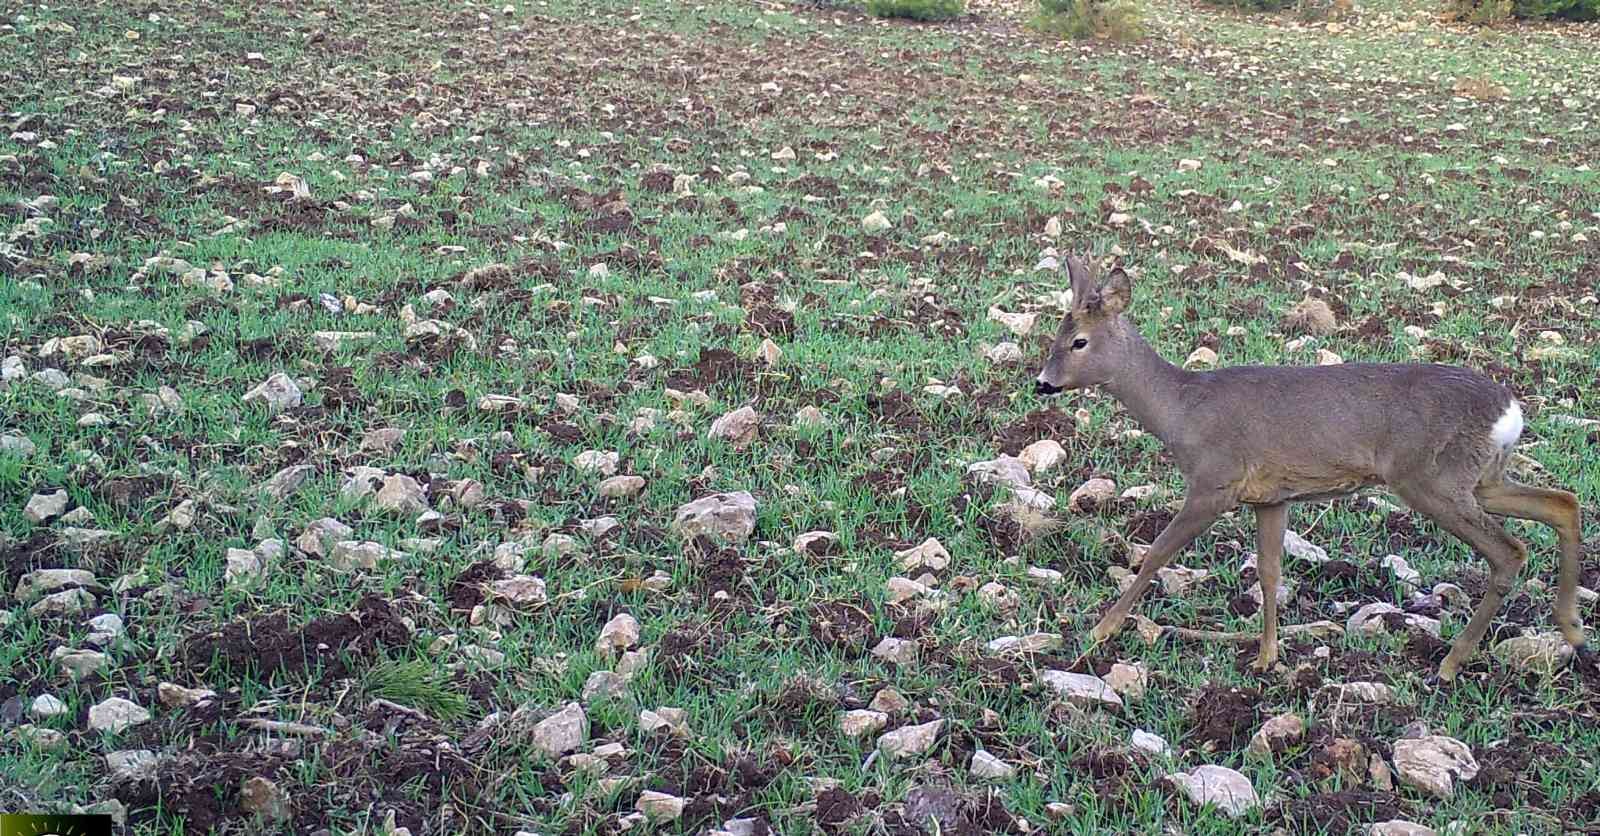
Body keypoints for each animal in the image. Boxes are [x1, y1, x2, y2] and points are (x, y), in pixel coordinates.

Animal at [1036, 254, 1587, 682]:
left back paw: (1452, 663)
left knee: (1509, 551)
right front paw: (1266, 657)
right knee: (1563, 502)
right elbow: (1269, 573)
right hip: (1480, 477)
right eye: (1056, 334)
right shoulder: (1271, 497)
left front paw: (1101, 630)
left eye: (1078, 340)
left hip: (1431, 478)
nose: (1042, 383)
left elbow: (1155, 554)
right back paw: (1573, 629)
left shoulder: (1214, 481)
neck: (1183, 410)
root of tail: (1510, 410)